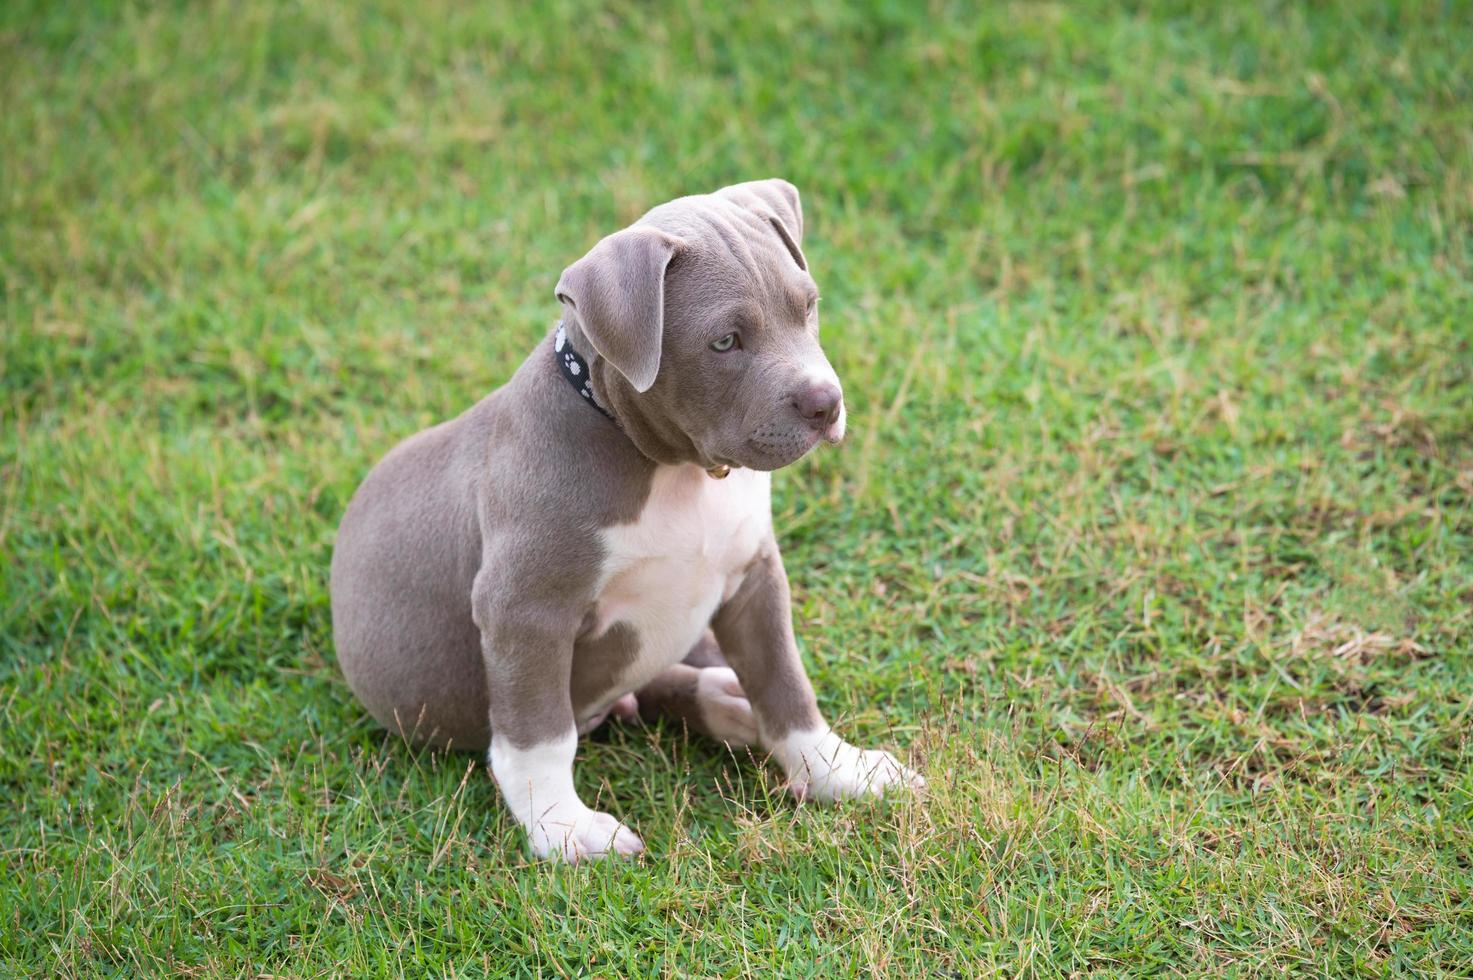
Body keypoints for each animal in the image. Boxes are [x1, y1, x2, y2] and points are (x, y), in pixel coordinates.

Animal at [334, 179, 919, 860]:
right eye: (725, 342)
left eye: (809, 307)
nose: (827, 403)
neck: (677, 472)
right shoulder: (524, 610)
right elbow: (539, 733)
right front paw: (563, 828)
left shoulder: (754, 578)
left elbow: (784, 682)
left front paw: (837, 770)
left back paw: (726, 701)